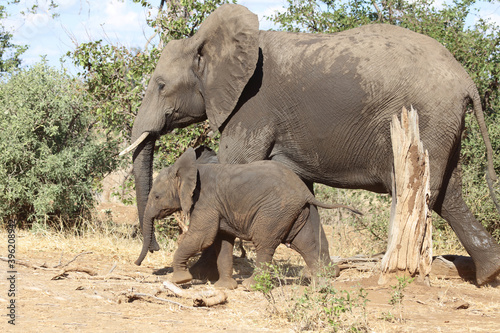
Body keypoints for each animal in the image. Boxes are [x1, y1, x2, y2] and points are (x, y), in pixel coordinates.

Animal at [135, 147, 362, 288]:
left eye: (157, 196)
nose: (137, 264)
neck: (190, 169)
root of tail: (304, 192)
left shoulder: (206, 201)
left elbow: (203, 237)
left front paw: (179, 281)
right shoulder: (219, 207)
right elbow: (222, 242)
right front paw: (224, 288)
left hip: (275, 211)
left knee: (265, 244)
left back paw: (251, 286)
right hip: (299, 211)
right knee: (307, 244)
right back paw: (319, 286)